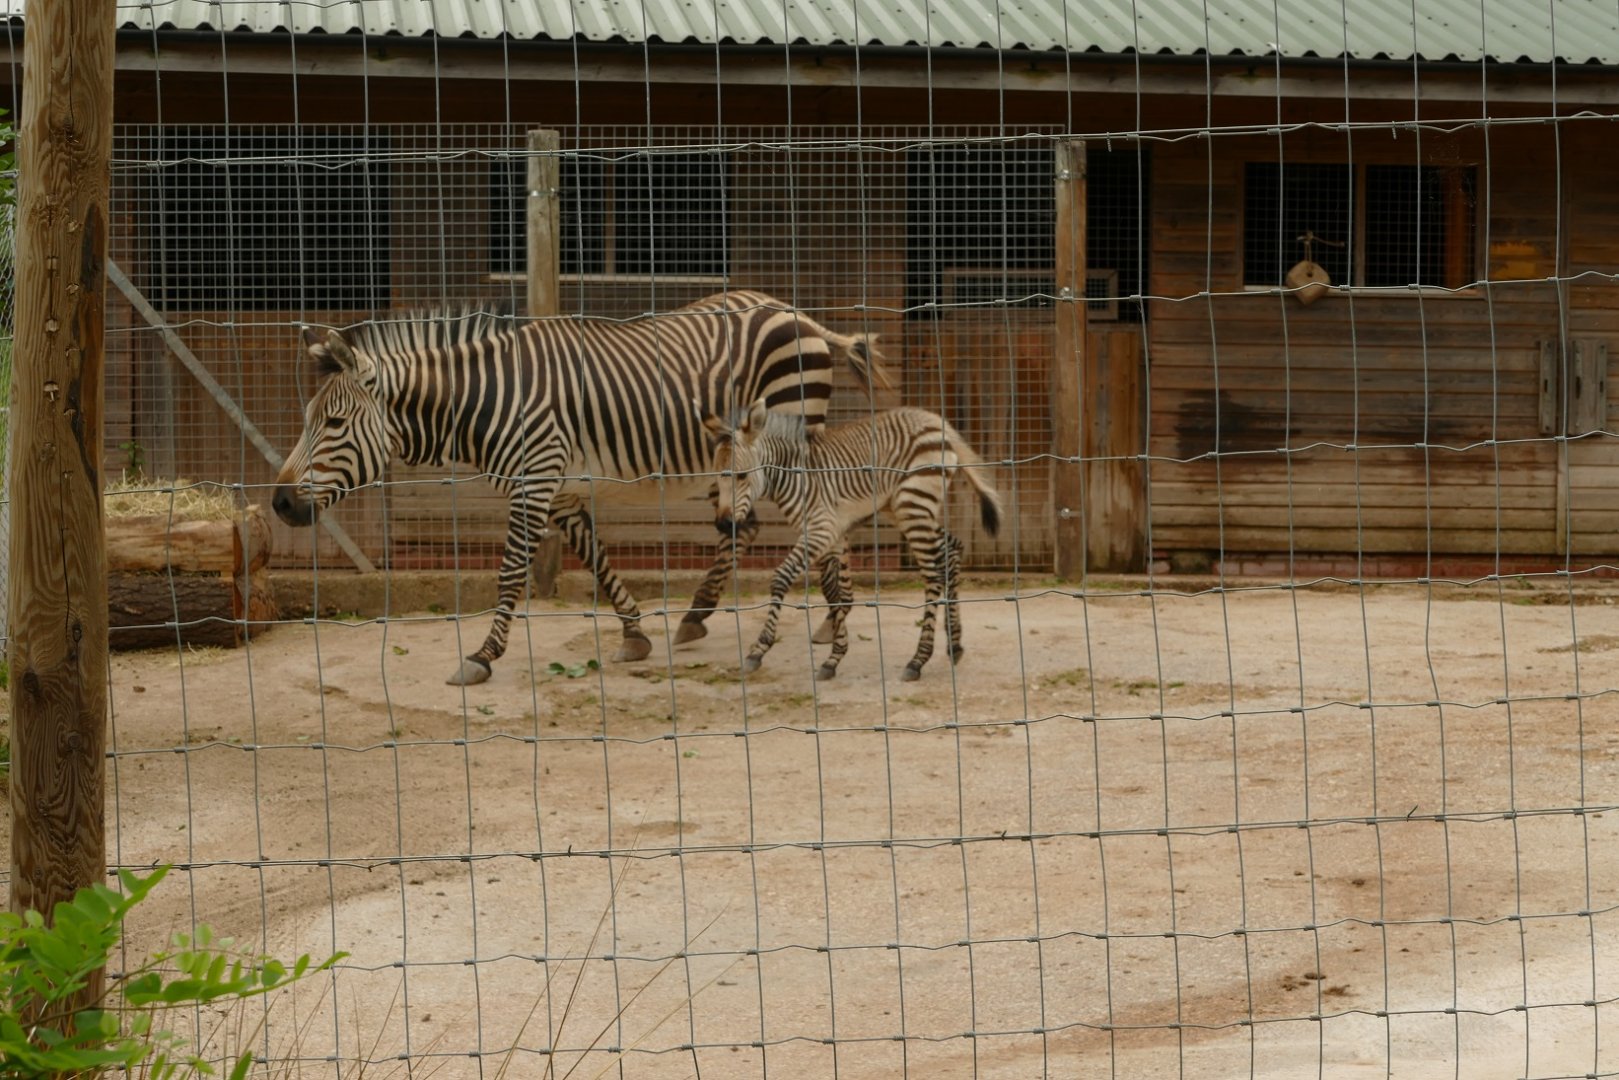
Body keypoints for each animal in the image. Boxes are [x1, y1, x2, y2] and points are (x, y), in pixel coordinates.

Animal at [270, 291, 891, 685]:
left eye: (333, 423)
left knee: (818, 516)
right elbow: (592, 553)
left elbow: (512, 572)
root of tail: (799, 313)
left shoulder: (534, 480)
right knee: (744, 528)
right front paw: (635, 633)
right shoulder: (559, 487)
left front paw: (484, 655)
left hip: (791, 421)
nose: (279, 502)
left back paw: (832, 618)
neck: (486, 401)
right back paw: (701, 615)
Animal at [699, 400, 1003, 681]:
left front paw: (758, 650)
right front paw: (834, 657)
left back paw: (918, 660)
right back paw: (955, 645)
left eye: (741, 476)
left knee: (933, 575)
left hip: (913, 505)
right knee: (952, 550)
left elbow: (782, 577)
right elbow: (837, 593)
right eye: (716, 476)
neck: (795, 477)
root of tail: (935, 420)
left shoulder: (821, 530)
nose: (724, 525)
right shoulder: (833, 535)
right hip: (904, 509)